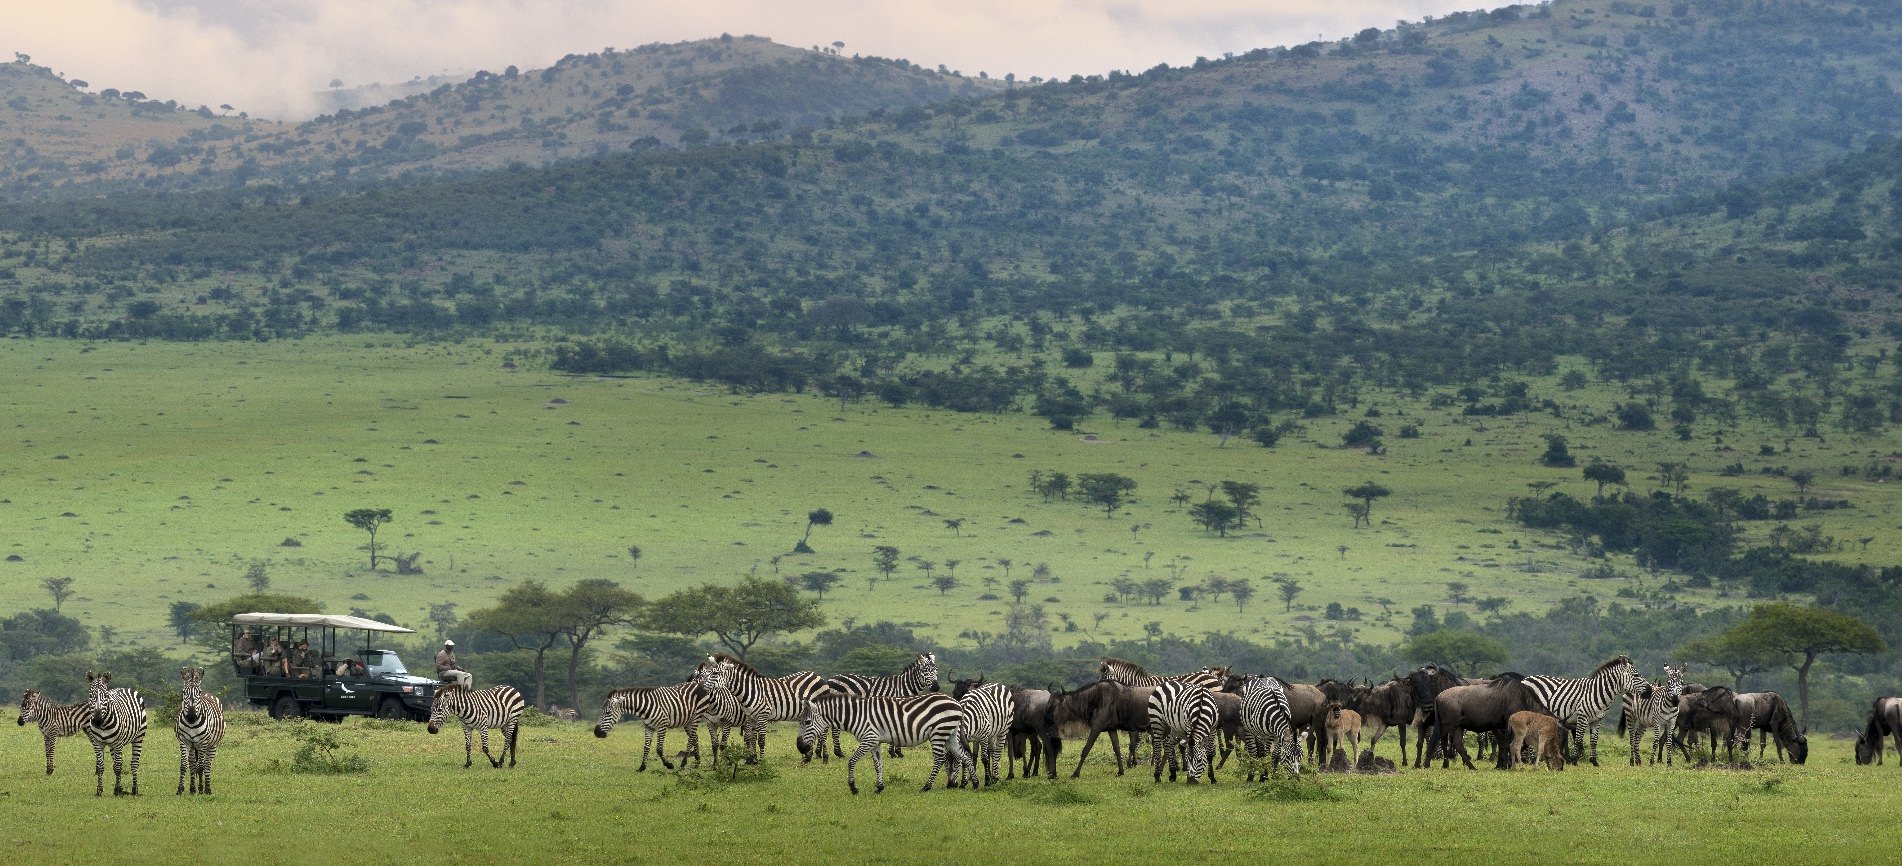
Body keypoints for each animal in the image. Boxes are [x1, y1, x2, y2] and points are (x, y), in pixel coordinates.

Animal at [81, 669, 146, 799]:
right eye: (90, 696)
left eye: (105, 696)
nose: (97, 721)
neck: (104, 725)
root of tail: (125, 688)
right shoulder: (97, 744)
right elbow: (101, 767)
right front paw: (99, 790)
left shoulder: (118, 744)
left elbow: (118, 767)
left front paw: (116, 791)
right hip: (112, 746)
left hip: (138, 737)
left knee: (133, 764)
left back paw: (134, 789)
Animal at [174, 666, 225, 795]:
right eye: (183, 692)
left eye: (199, 692)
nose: (191, 716)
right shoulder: (184, 741)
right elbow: (184, 766)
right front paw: (180, 789)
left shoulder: (203, 742)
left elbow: (201, 767)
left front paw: (201, 789)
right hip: (193, 746)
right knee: (192, 765)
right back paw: (192, 789)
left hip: (212, 745)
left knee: (206, 765)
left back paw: (207, 789)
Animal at [795, 696, 966, 795]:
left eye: (807, 722)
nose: (800, 748)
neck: (856, 715)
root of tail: (956, 703)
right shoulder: (875, 742)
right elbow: (878, 764)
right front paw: (879, 787)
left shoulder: (869, 738)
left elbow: (852, 761)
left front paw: (853, 787)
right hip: (949, 733)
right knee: (964, 756)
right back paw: (964, 784)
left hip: (939, 732)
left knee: (940, 759)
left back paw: (927, 787)